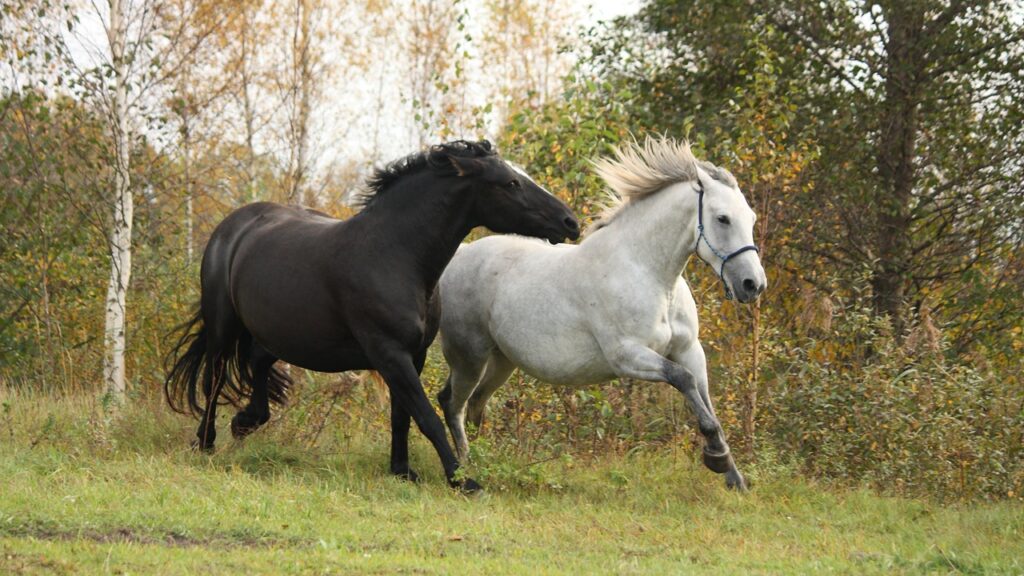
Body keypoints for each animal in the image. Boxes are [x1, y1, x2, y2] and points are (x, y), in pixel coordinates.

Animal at [164, 140, 580, 492]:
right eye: (510, 182)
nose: (570, 222)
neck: (394, 255)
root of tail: (233, 226)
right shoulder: (389, 353)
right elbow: (425, 415)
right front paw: (462, 480)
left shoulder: (413, 354)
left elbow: (402, 416)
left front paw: (402, 471)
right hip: (223, 325)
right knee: (215, 378)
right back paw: (206, 442)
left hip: (277, 331)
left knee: (257, 362)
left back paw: (244, 422)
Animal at [436, 137, 766, 491]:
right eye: (722, 218)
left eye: (751, 218)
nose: (753, 284)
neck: (649, 274)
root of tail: (459, 255)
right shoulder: (627, 356)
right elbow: (683, 380)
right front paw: (716, 456)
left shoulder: (689, 350)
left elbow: (704, 398)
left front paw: (734, 477)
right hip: (470, 357)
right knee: (453, 404)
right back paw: (466, 469)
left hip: (502, 361)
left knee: (475, 404)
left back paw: (486, 461)